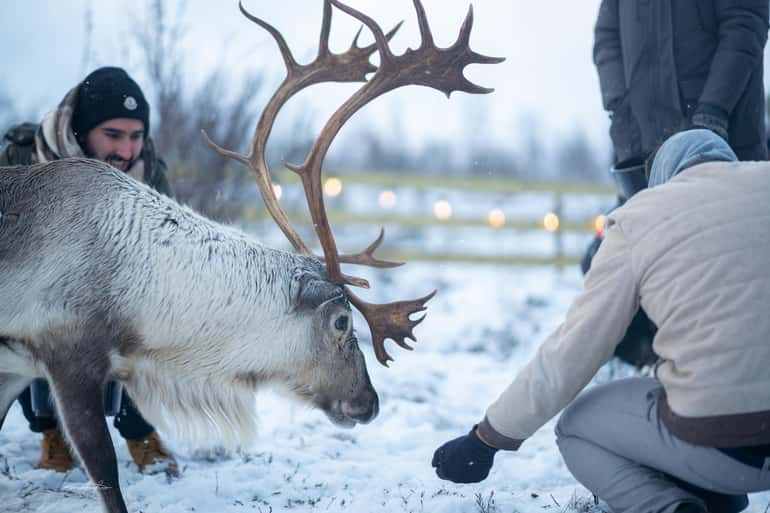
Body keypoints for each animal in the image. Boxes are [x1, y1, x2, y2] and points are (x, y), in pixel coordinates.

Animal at [0, 1, 502, 512]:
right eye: (342, 322)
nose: (370, 402)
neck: (142, 291)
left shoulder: (14, 367)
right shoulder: (69, 355)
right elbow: (104, 470)